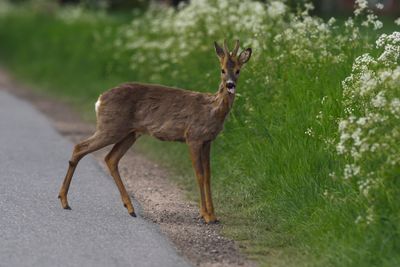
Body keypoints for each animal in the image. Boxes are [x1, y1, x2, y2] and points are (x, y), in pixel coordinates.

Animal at [57, 39, 252, 224]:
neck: (212, 110)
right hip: (110, 127)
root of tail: (99, 99)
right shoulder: (193, 137)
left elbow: (209, 176)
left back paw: (129, 208)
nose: (230, 85)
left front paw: (214, 216)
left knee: (110, 158)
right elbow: (199, 174)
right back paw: (64, 201)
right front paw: (206, 216)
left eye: (238, 70)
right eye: (222, 70)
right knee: (80, 147)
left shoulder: (207, 141)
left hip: (130, 133)